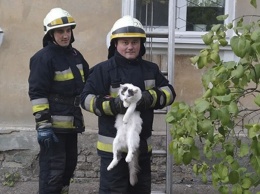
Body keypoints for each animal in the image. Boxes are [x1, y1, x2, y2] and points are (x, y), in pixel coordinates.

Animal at [28, 7, 89, 194]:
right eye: (60, 31)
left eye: (67, 30)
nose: (65, 37)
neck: (60, 49)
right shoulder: (40, 63)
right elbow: (38, 90)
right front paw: (45, 132)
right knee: (55, 170)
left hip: (70, 139)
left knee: (69, 164)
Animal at [80, 15, 176, 194]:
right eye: (123, 92)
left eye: (130, 93)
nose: (125, 96)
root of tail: (124, 143)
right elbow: (119, 103)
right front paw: (120, 104)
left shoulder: (136, 104)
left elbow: (131, 108)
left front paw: (126, 116)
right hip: (114, 143)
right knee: (116, 157)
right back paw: (111, 166)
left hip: (132, 139)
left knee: (129, 153)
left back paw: (129, 156)